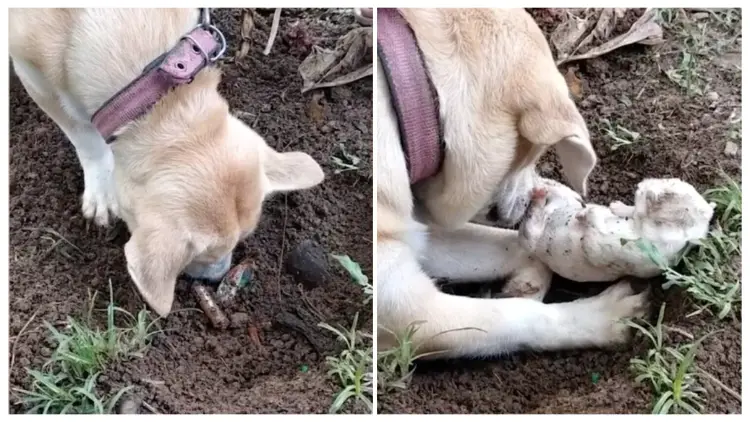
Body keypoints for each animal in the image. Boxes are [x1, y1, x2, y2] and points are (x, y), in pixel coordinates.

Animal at [8, 8, 324, 316]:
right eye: (203, 255)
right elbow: (84, 135)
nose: (217, 279)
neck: (162, 97)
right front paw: (101, 189)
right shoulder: (32, 73)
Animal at [378, 9, 648, 360]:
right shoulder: (408, 311)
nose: (539, 194)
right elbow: (517, 316)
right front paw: (610, 315)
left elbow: (511, 245)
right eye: (534, 152)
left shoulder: (417, 233)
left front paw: (526, 280)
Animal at [520, 176, 712, 282]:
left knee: (530, 224)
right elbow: (631, 211)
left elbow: (593, 233)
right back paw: (545, 187)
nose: (641, 183)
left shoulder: (611, 251)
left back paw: (540, 195)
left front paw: (585, 214)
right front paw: (615, 206)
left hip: (532, 239)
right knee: (563, 194)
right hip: (563, 202)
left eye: (667, 193)